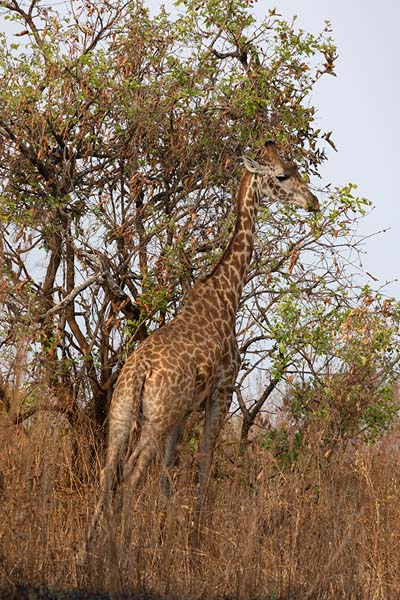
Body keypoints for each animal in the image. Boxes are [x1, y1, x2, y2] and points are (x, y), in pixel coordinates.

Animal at [84, 143, 318, 548]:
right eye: (283, 175)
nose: (313, 202)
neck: (226, 294)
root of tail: (139, 373)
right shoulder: (222, 389)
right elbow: (204, 465)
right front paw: (195, 540)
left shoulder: (184, 410)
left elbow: (168, 476)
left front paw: (170, 536)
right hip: (157, 418)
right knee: (131, 475)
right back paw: (122, 551)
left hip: (122, 413)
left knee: (109, 473)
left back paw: (90, 551)